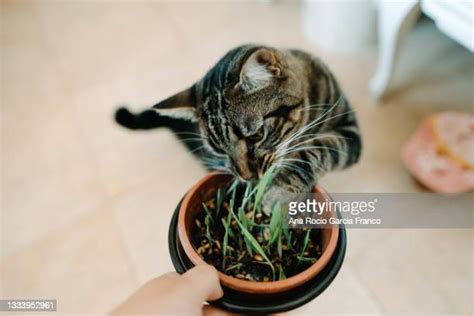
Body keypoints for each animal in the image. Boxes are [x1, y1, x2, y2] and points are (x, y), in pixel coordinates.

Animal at [116, 43, 362, 209]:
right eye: (219, 149)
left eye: (256, 135)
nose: (247, 177)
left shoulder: (350, 132)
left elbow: (316, 150)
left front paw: (280, 190)